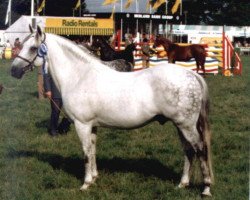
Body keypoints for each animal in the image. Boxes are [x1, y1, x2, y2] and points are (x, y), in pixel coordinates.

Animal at [11, 25, 213, 196]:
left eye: (32, 48)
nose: (13, 71)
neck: (79, 76)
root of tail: (191, 74)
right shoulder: (92, 125)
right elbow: (92, 150)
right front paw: (93, 178)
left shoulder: (82, 125)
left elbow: (86, 152)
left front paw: (85, 184)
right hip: (181, 126)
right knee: (188, 151)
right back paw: (182, 183)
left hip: (186, 125)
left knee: (200, 149)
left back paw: (206, 189)